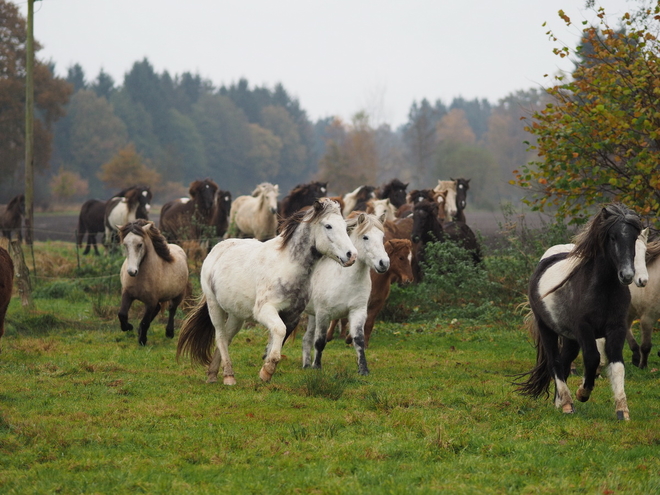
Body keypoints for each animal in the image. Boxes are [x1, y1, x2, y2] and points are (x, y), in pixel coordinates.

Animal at [177, 200, 356, 386]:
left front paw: (265, 370)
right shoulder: (265, 310)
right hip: (214, 306)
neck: (288, 266)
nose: (351, 255)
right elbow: (279, 330)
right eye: (328, 226)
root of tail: (216, 249)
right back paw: (229, 377)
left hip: (236, 314)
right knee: (220, 337)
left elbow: (277, 338)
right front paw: (267, 371)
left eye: (345, 227)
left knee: (227, 337)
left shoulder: (292, 316)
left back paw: (214, 375)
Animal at [302, 211, 390, 374]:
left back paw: (305, 365)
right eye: (365, 237)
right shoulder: (323, 314)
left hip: (311, 314)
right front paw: (317, 367)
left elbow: (359, 340)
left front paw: (363, 369)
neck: (344, 281)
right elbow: (320, 341)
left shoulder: (358, 311)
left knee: (306, 338)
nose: (384, 263)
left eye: (382, 237)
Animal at [516, 203, 644, 420]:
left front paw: (622, 410)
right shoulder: (584, 328)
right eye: (612, 237)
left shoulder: (616, 328)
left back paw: (559, 401)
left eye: (634, 238)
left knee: (564, 361)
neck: (603, 288)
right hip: (547, 329)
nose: (627, 275)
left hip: (570, 338)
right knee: (555, 362)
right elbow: (593, 358)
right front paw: (582, 393)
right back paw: (567, 403)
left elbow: (617, 364)